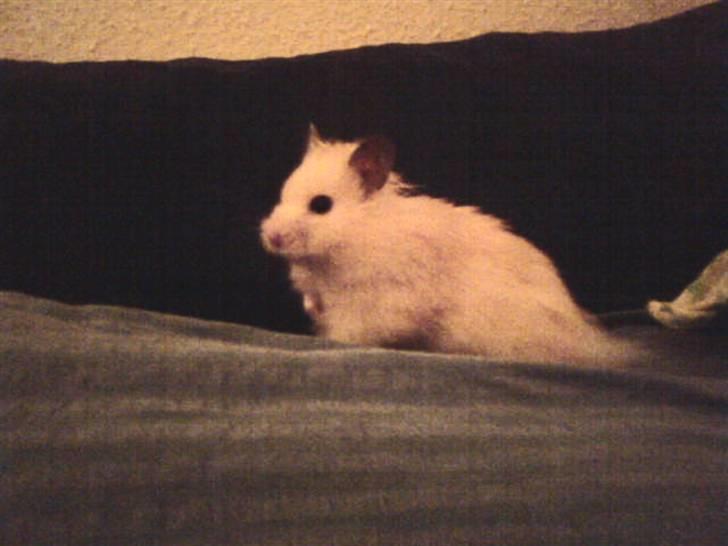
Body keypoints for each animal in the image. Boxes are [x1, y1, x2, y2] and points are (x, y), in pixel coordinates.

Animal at [260, 125, 641, 365]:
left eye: (321, 205)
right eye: (282, 196)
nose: (271, 237)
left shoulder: (377, 307)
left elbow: (351, 332)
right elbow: (315, 303)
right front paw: (313, 311)